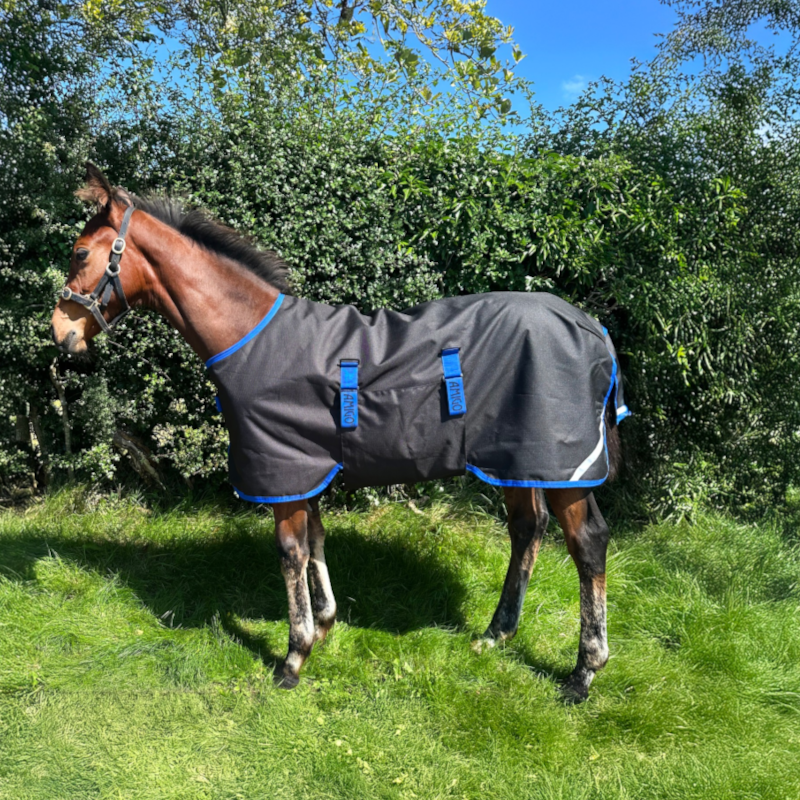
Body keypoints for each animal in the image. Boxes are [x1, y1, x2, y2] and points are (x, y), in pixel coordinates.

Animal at [50, 163, 628, 701]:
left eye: (80, 253)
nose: (61, 333)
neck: (251, 336)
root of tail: (592, 326)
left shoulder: (283, 471)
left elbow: (291, 552)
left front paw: (294, 656)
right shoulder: (303, 467)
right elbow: (315, 538)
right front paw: (325, 624)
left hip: (562, 466)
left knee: (587, 544)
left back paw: (583, 672)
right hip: (517, 461)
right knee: (528, 529)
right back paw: (496, 634)